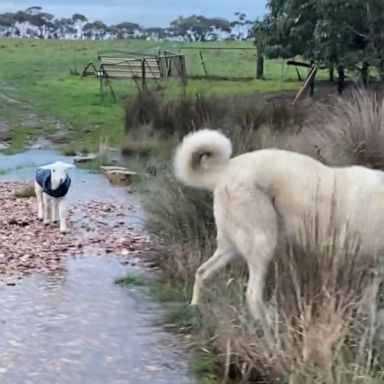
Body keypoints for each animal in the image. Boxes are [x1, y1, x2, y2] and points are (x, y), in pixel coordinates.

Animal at [175, 130, 384, 320]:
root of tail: (226, 169)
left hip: (232, 247)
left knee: (202, 272)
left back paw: (195, 308)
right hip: (263, 242)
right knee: (252, 295)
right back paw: (267, 323)